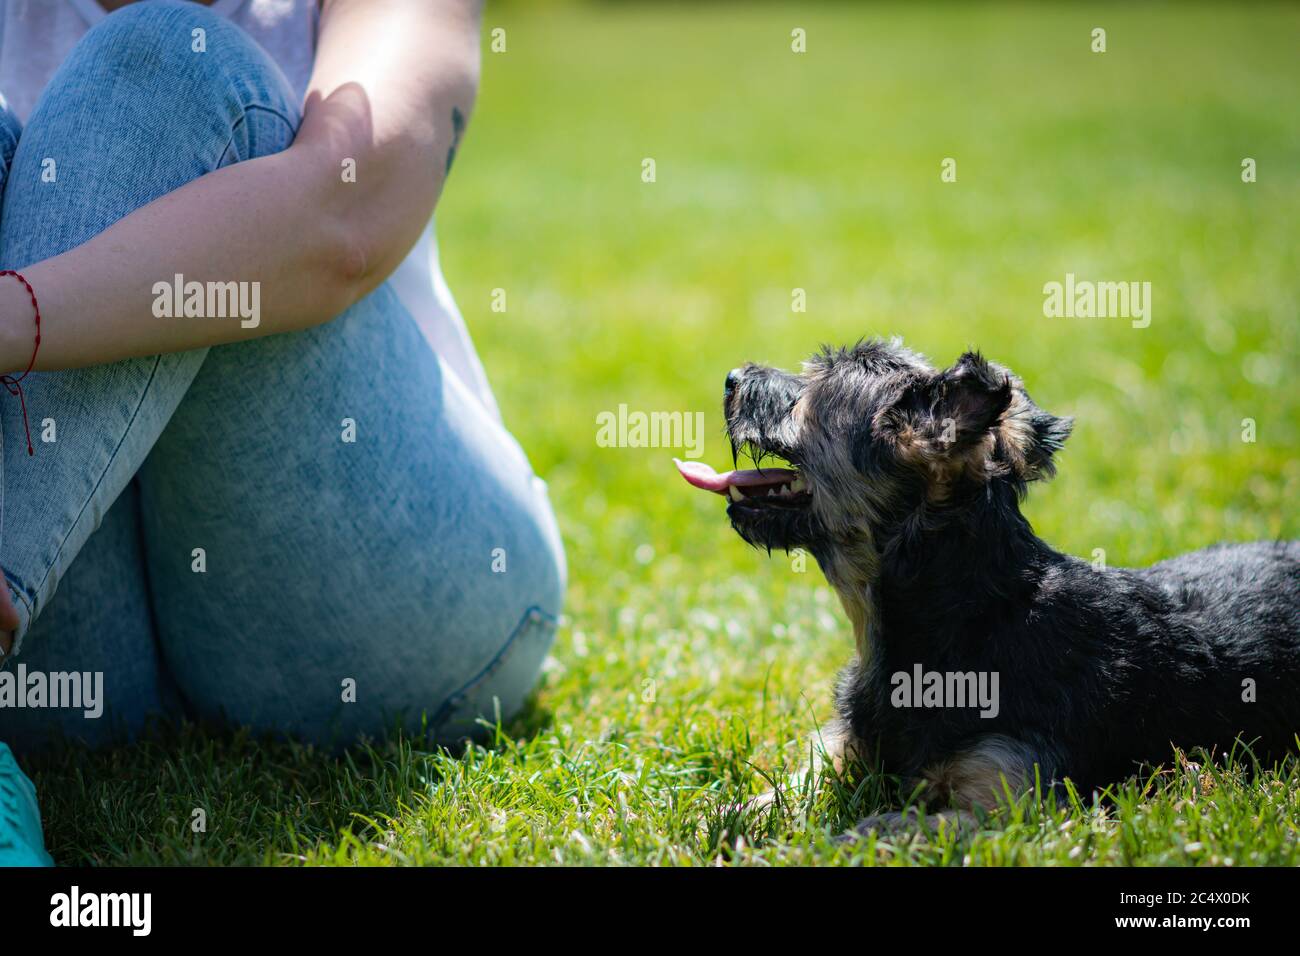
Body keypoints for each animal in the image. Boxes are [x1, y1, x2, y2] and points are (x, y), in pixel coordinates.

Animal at [681, 338, 1300, 822]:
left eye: (809, 393)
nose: (731, 377)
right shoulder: (839, 757)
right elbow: (769, 799)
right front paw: (717, 817)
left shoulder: (1004, 799)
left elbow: (888, 827)